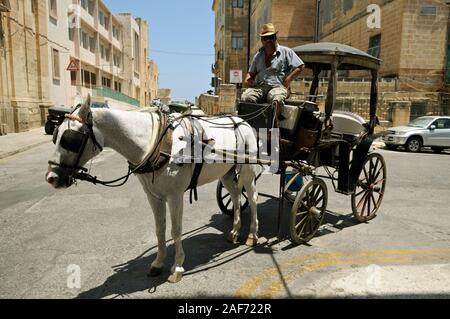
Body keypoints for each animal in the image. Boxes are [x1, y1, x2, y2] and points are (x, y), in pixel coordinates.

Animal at [45, 96, 260, 284]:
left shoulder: (175, 196)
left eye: (70, 139)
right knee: (235, 195)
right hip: (226, 173)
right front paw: (158, 263)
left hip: (247, 171)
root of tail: (242, 121)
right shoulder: (153, 196)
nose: (51, 178)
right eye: (55, 135)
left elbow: (176, 230)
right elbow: (159, 229)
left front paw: (177, 267)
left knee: (252, 198)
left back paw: (252, 235)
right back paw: (234, 231)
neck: (155, 142)